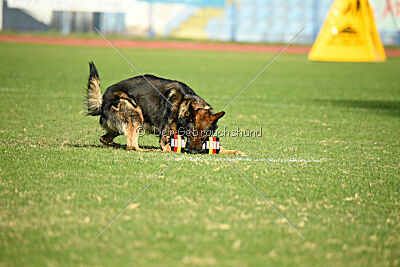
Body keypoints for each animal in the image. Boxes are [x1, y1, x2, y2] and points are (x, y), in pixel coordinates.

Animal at [86, 62, 244, 155]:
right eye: (191, 134)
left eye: (204, 136)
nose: (193, 152)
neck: (183, 106)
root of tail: (102, 101)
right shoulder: (165, 139)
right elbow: (167, 147)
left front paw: (233, 151)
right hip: (135, 114)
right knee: (131, 145)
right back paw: (145, 149)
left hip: (120, 126)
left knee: (105, 138)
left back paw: (115, 144)